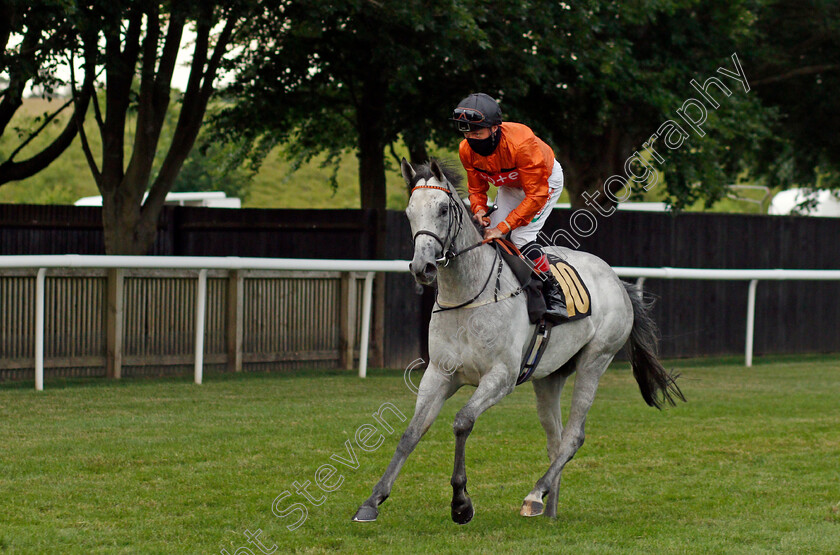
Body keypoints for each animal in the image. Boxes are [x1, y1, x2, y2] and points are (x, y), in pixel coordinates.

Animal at [350, 159, 684, 524]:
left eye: (442, 209)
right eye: (410, 211)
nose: (421, 267)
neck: (468, 298)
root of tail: (617, 280)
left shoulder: (501, 376)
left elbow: (462, 421)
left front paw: (461, 503)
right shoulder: (439, 373)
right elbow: (411, 432)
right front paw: (372, 501)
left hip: (595, 361)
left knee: (573, 437)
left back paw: (535, 495)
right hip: (549, 377)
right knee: (555, 439)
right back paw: (549, 507)